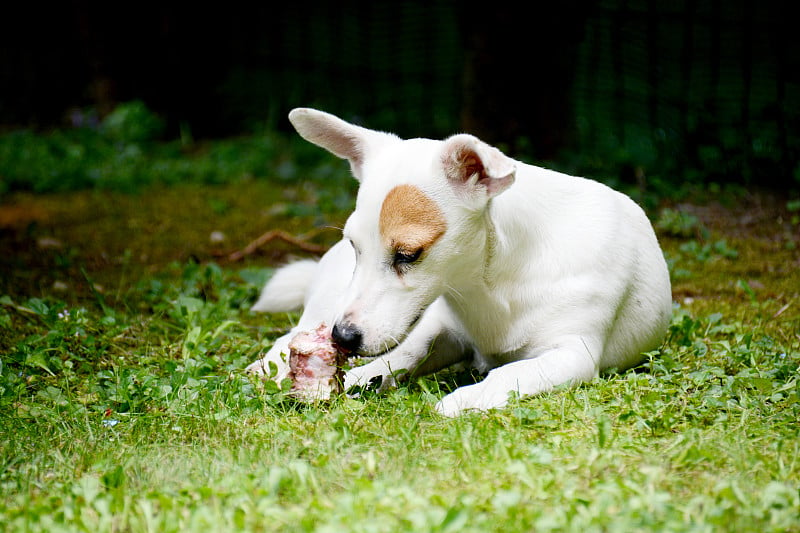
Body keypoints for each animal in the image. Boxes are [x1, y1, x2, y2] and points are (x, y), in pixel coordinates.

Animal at [247, 108, 672, 416]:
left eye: (408, 254)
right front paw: (358, 377)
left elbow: (512, 373)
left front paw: (468, 397)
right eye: (355, 245)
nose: (343, 338)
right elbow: (405, 353)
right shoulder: (441, 326)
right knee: (291, 334)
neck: (492, 284)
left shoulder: (573, 354)